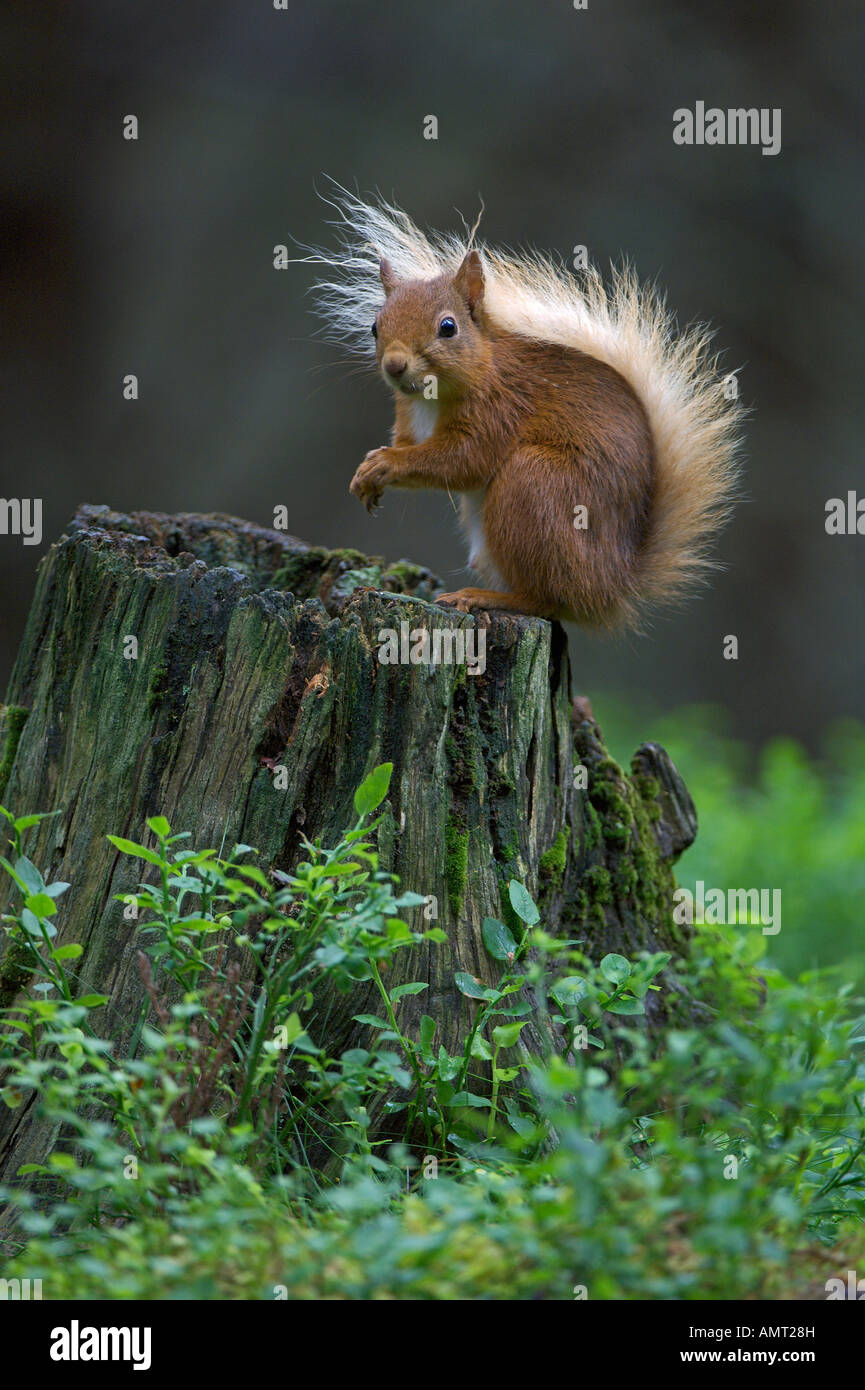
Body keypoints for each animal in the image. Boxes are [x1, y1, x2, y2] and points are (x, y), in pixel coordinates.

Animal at [302, 188, 743, 628]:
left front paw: (384, 465)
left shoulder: (501, 408)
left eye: (448, 327)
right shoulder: (410, 420)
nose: (394, 365)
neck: (433, 397)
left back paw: (483, 597)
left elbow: (464, 460)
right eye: (375, 326)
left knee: (546, 600)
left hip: (535, 484)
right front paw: (367, 473)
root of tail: (612, 585)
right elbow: (415, 448)